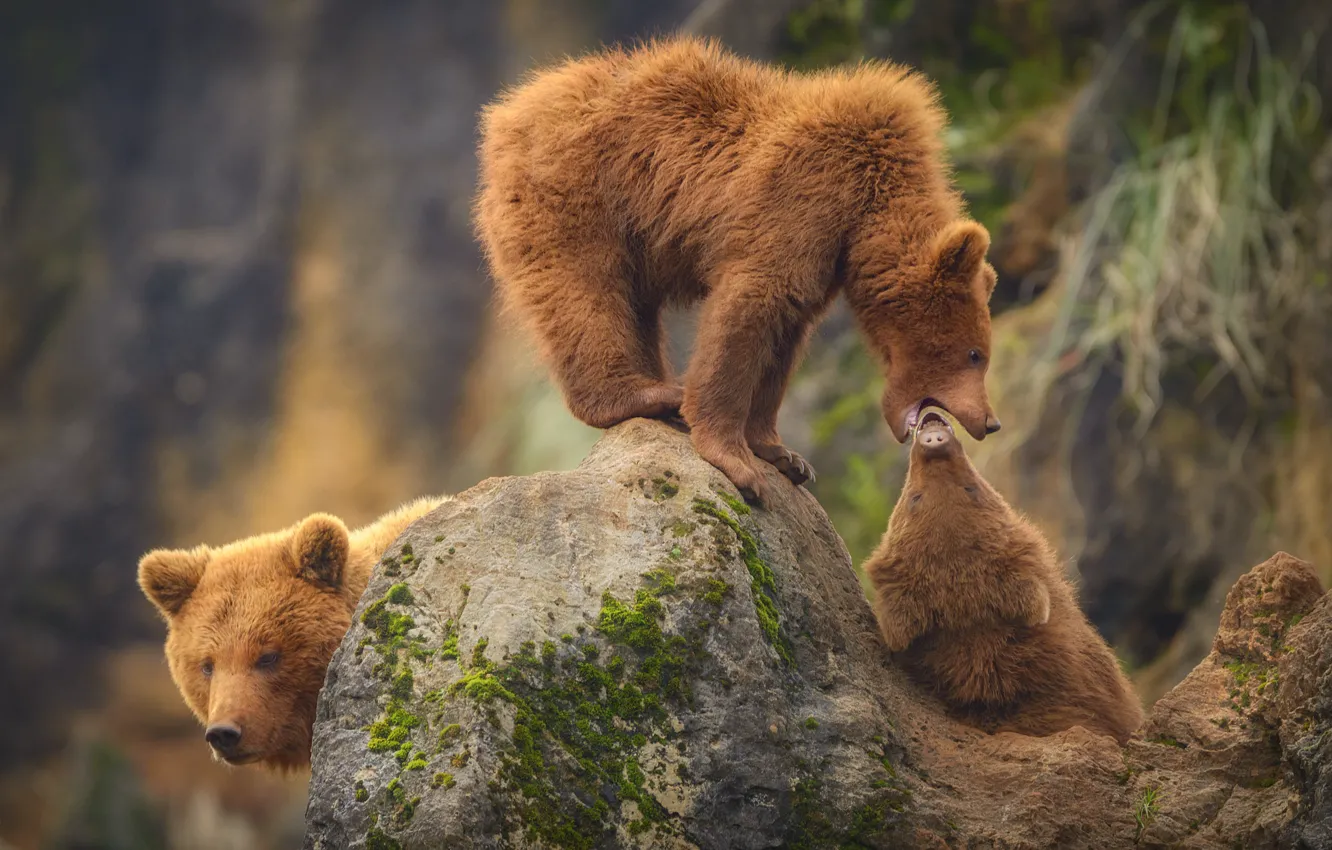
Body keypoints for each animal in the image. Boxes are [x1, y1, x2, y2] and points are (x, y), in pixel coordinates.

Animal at [476, 36, 1001, 506]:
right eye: (976, 354)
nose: (990, 422)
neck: (870, 204)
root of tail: (510, 107)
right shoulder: (804, 197)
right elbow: (750, 306)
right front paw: (738, 462)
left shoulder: (825, 255)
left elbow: (786, 333)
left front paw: (782, 453)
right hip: (580, 194)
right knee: (586, 294)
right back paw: (646, 394)